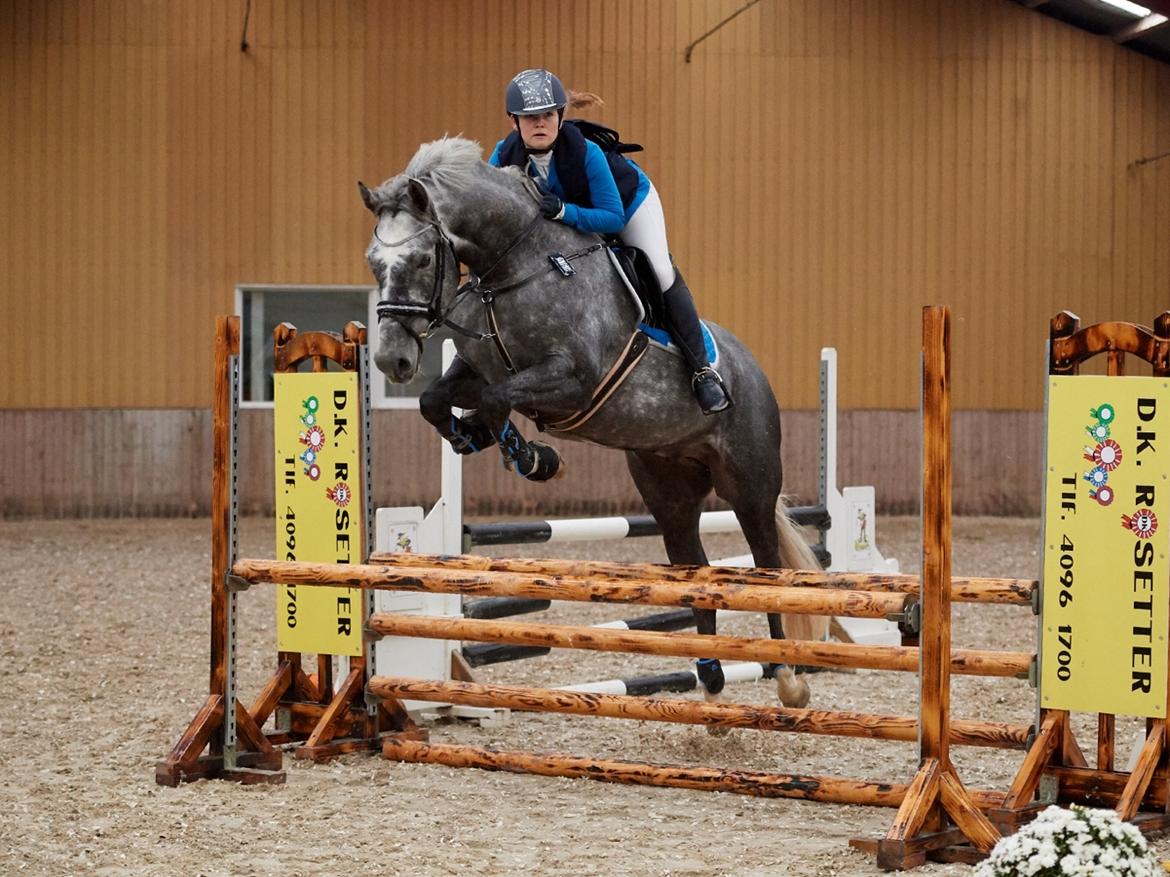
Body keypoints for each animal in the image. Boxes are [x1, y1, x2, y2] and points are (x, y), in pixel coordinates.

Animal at [355, 139, 823, 715]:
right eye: (374, 263)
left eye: (422, 259)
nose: (392, 360)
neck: (511, 266)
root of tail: (754, 371)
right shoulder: (477, 369)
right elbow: (435, 401)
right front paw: (484, 439)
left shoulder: (574, 380)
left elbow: (496, 400)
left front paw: (530, 457)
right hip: (669, 490)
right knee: (693, 569)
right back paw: (711, 685)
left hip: (749, 485)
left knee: (766, 567)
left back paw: (788, 678)